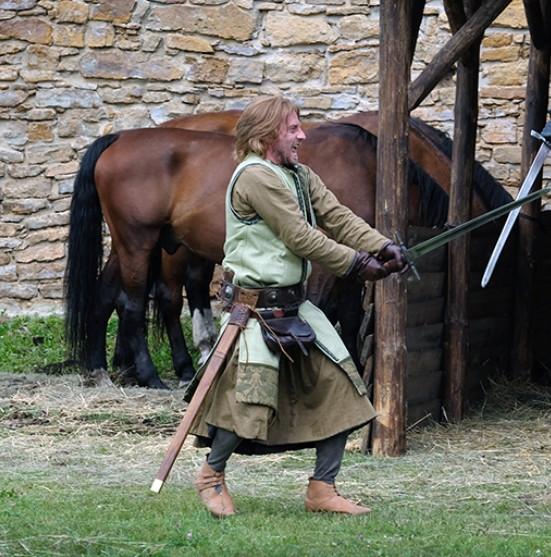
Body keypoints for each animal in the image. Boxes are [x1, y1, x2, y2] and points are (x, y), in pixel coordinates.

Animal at [66, 122, 452, 386]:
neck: (367, 170)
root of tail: (119, 138)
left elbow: (351, 314)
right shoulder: (325, 262)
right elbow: (322, 310)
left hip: (129, 246)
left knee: (105, 297)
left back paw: (100, 368)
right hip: (139, 243)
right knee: (133, 304)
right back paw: (150, 374)